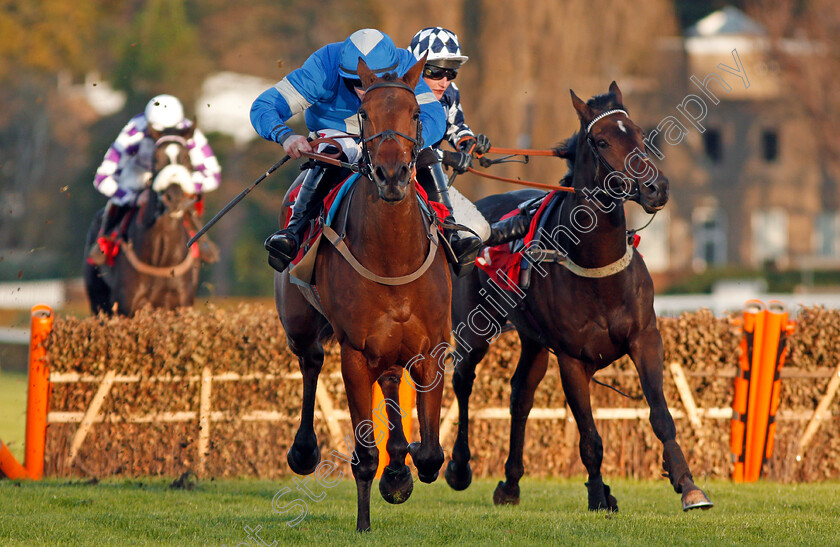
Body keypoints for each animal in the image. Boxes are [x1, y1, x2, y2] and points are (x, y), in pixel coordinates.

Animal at [83, 130, 202, 316]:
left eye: (187, 158)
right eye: (156, 158)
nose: (174, 197)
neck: (161, 259)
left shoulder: (181, 304)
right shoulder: (127, 306)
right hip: (98, 300)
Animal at [274, 56, 452, 532]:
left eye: (415, 114)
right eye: (365, 114)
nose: (391, 177)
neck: (393, 258)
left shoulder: (431, 347)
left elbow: (430, 454)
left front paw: (400, 474)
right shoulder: (353, 353)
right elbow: (364, 455)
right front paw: (364, 522)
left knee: (389, 381)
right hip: (300, 323)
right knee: (311, 362)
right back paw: (303, 451)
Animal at [442, 81, 712, 512]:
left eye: (640, 133)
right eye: (601, 141)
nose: (657, 187)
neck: (596, 270)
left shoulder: (645, 339)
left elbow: (661, 415)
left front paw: (687, 484)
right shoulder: (572, 358)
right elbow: (589, 438)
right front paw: (599, 494)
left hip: (533, 339)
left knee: (520, 394)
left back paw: (511, 482)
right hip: (473, 329)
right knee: (464, 381)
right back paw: (459, 467)